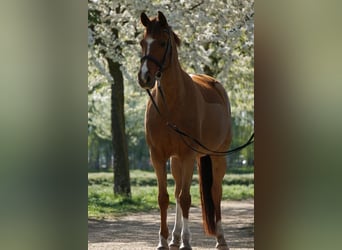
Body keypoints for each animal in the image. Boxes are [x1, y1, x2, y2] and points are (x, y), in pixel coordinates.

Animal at [138, 12, 232, 250]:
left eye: (162, 43)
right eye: (142, 42)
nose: (144, 78)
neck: (171, 103)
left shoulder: (188, 155)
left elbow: (186, 198)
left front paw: (187, 241)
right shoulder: (158, 156)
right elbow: (165, 197)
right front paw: (163, 240)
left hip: (217, 157)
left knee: (215, 192)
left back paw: (220, 239)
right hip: (176, 161)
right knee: (178, 192)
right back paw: (175, 237)